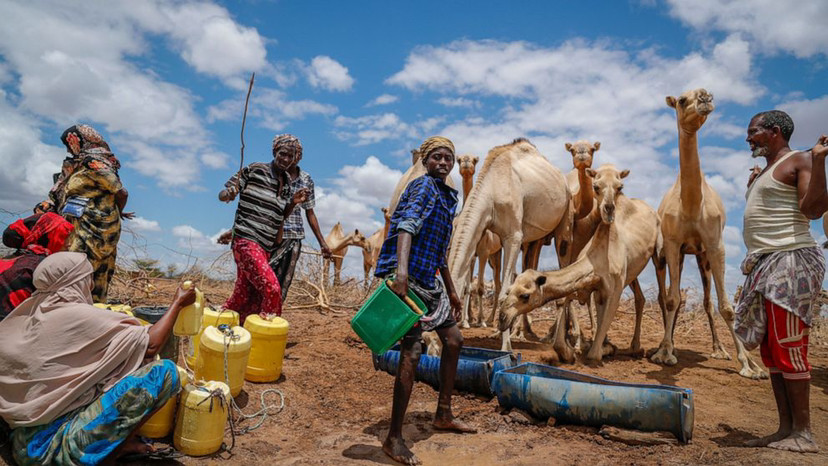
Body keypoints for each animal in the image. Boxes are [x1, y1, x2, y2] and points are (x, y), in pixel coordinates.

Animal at [456, 154, 502, 328]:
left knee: (498, 285)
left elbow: (481, 288)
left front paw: (480, 321)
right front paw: (465, 321)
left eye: (475, 160)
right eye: (458, 159)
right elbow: (467, 287)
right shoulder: (471, 254)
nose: (466, 163)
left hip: (496, 254)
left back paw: (489, 320)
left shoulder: (483, 252)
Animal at [498, 166, 668, 362]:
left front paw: (600, 348)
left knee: (661, 292)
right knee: (640, 297)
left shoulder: (614, 291)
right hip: (632, 272)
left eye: (525, 296)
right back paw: (634, 346)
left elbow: (594, 354)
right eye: (509, 291)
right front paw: (574, 350)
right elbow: (568, 304)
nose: (502, 318)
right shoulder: (592, 288)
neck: (595, 261)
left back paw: (655, 351)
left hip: (658, 254)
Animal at [652, 87, 768, 378]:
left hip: (701, 255)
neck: (692, 205)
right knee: (670, 296)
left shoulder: (716, 245)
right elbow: (672, 299)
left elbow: (727, 307)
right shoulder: (673, 243)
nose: (704, 97)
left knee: (707, 302)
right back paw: (668, 345)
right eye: (682, 100)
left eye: (708, 94)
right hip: (679, 254)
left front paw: (750, 365)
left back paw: (720, 349)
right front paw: (665, 354)